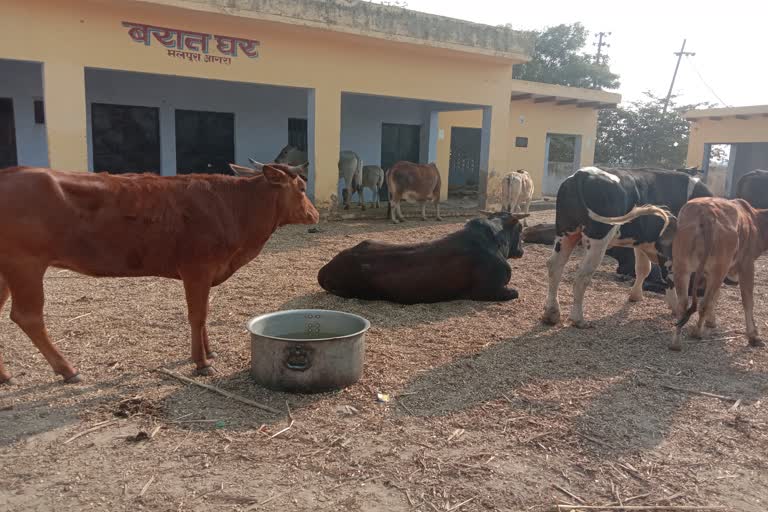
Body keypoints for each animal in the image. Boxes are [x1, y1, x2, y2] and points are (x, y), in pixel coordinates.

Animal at [0, 164, 318, 384]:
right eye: (302, 188)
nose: (315, 214)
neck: (234, 207)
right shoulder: (197, 268)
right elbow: (197, 315)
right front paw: (202, 363)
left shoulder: (205, 272)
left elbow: (204, 314)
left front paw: (209, 352)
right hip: (25, 264)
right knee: (28, 317)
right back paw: (68, 370)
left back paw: (6, 375)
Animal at [316, 212, 528, 304]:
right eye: (520, 228)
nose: (523, 247)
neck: (496, 241)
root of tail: (324, 271)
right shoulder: (489, 290)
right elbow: (515, 292)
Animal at [544, 168, 712, 328]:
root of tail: (582, 174)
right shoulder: (668, 247)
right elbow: (670, 276)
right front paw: (676, 307)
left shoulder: (641, 241)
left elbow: (643, 268)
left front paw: (635, 296)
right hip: (598, 239)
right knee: (582, 275)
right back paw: (578, 319)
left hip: (565, 232)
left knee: (554, 266)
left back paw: (551, 313)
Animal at [672, 197, 768, 352]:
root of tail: (707, 214)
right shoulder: (747, 265)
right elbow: (748, 301)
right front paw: (754, 336)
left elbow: (715, 295)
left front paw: (711, 321)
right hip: (719, 269)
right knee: (703, 303)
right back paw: (696, 332)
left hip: (682, 267)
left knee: (683, 304)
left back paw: (676, 342)